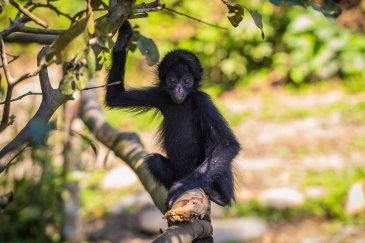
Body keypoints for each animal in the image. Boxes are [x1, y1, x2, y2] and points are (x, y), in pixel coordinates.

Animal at [105, 20, 240, 208]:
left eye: (187, 81)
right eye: (172, 80)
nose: (178, 89)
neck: (182, 103)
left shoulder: (202, 100)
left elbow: (227, 143)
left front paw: (182, 186)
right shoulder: (160, 95)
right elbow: (114, 97)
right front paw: (123, 38)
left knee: (212, 145)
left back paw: (218, 196)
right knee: (154, 161)